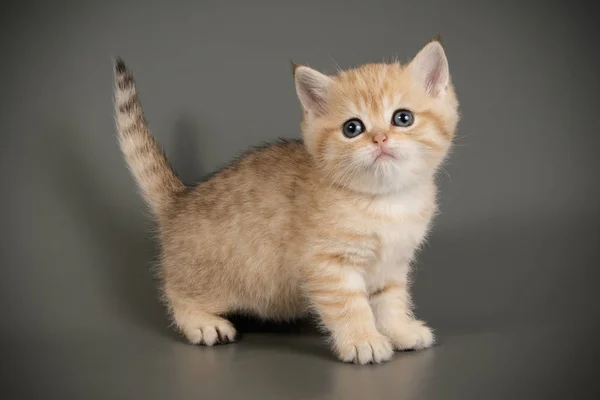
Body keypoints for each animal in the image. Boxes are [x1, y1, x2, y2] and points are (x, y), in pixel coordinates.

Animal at [112, 38, 460, 366]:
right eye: (352, 128)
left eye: (403, 118)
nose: (380, 139)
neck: (386, 200)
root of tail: (181, 199)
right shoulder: (327, 264)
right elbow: (350, 306)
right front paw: (363, 341)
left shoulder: (393, 263)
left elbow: (390, 301)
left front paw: (399, 330)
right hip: (214, 279)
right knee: (176, 292)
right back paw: (201, 322)